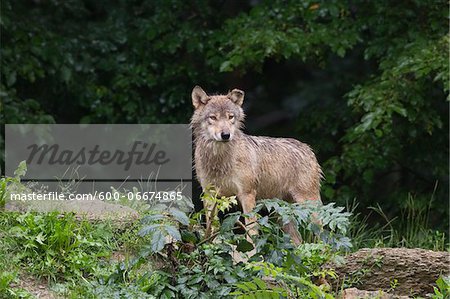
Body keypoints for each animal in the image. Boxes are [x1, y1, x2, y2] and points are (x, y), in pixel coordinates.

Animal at [191, 85, 324, 245]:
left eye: (230, 117)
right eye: (213, 117)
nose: (226, 135)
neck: (220, 160)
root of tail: (308, 148)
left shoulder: (247, 194)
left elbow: (251, 228)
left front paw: (251, 249)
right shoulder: (209, 194)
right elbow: (212, 226)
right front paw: (211, 245)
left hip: (308, 205)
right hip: (283, 214)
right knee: (297, 240)